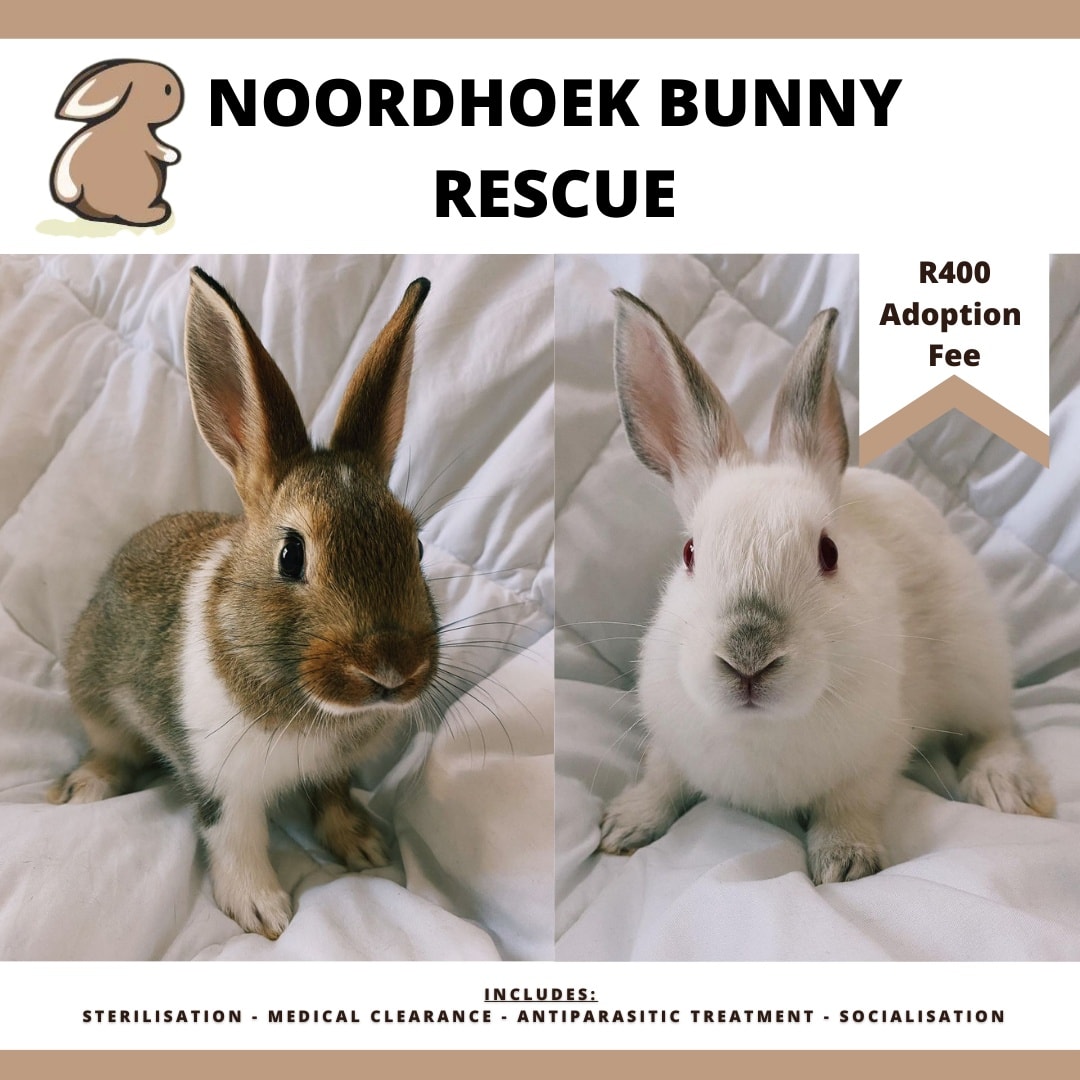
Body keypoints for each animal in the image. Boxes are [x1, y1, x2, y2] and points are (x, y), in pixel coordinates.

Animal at [50, 59, 183, 226]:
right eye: (167, 89)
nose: (178, 88)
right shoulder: (143, 137)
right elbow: (157, 147)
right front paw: (173, 155)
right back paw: (159, 211)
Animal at [51, 268, 438, 938]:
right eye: (291, 555)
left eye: (415, 546)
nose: (391, 668)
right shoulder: (219, 776)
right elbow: (235, 836)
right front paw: (264, 913)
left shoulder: (336, 769)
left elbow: (332, 799)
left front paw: (362, 847)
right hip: (95, 695)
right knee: (111, 748)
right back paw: (86, 788)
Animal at [598, 290, 1055, 884]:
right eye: (689, 553)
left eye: (829, 553)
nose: (749, 659)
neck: (761, 729)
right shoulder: (668, 745)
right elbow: (660, 779)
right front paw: (622, 828)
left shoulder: (874, 757)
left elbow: (849, 805)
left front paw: (846, 861)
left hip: (975, 663)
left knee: (994, 730)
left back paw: (1005, 787)